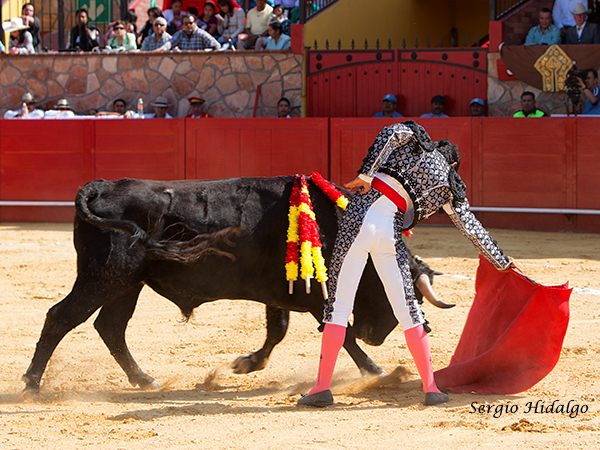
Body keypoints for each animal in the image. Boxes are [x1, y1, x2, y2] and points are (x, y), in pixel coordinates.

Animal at [22, 176, 450, 393]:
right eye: (402, 291)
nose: (374, 336)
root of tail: (103, 186)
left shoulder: (281, 293)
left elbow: (277, 330)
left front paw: (246, 363)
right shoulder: (316, 295)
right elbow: (336, 334)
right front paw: (377, 371)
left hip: (127, 283)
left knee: (110, 326)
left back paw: (144, 379)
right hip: (104, 276)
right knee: (61, 317)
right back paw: (31, 384)